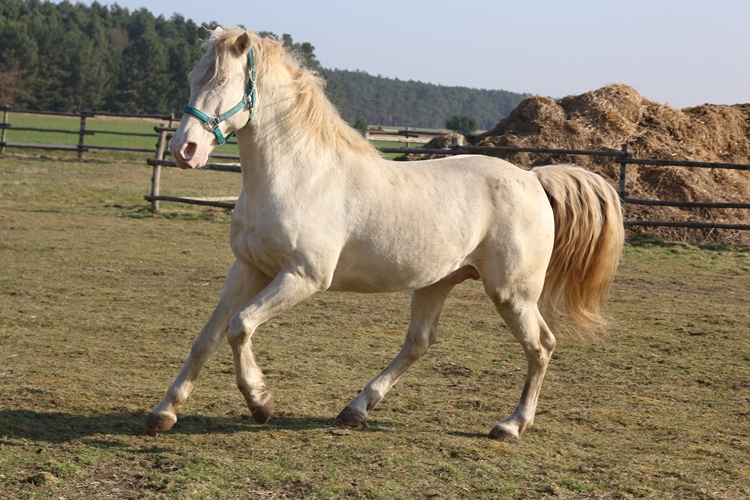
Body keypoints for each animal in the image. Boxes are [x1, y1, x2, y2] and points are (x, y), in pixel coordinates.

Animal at [144, 28, 624, 442]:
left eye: (223, 79)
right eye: (193, 78)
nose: (185, 150)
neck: (298, 175)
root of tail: (533, 177)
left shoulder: (303, 276)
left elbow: (240, 326)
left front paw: (261, 402)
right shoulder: (248, 269)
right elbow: (207, 337)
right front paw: (164, 412)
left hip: (512, 293)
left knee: (541, 345)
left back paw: (511, 424)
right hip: (437, 282)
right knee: (419, 343)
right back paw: (356, 408)